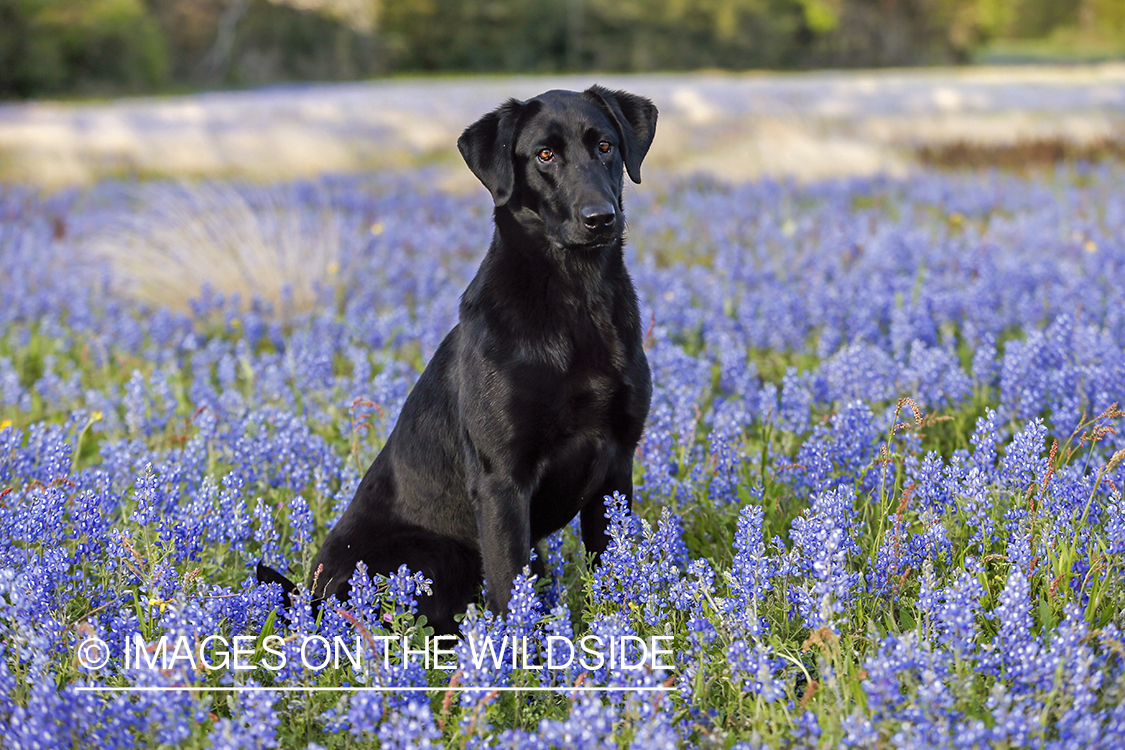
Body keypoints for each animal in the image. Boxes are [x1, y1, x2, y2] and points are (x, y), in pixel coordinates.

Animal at [257, 88, 657, 638]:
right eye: (544, 155)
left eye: (605, 146)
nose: (601, 217)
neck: (577, 299)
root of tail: (313, 597)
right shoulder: (501, 479)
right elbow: (509, 592)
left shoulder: (616, 463)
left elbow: (613, 569)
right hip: (433, 552)